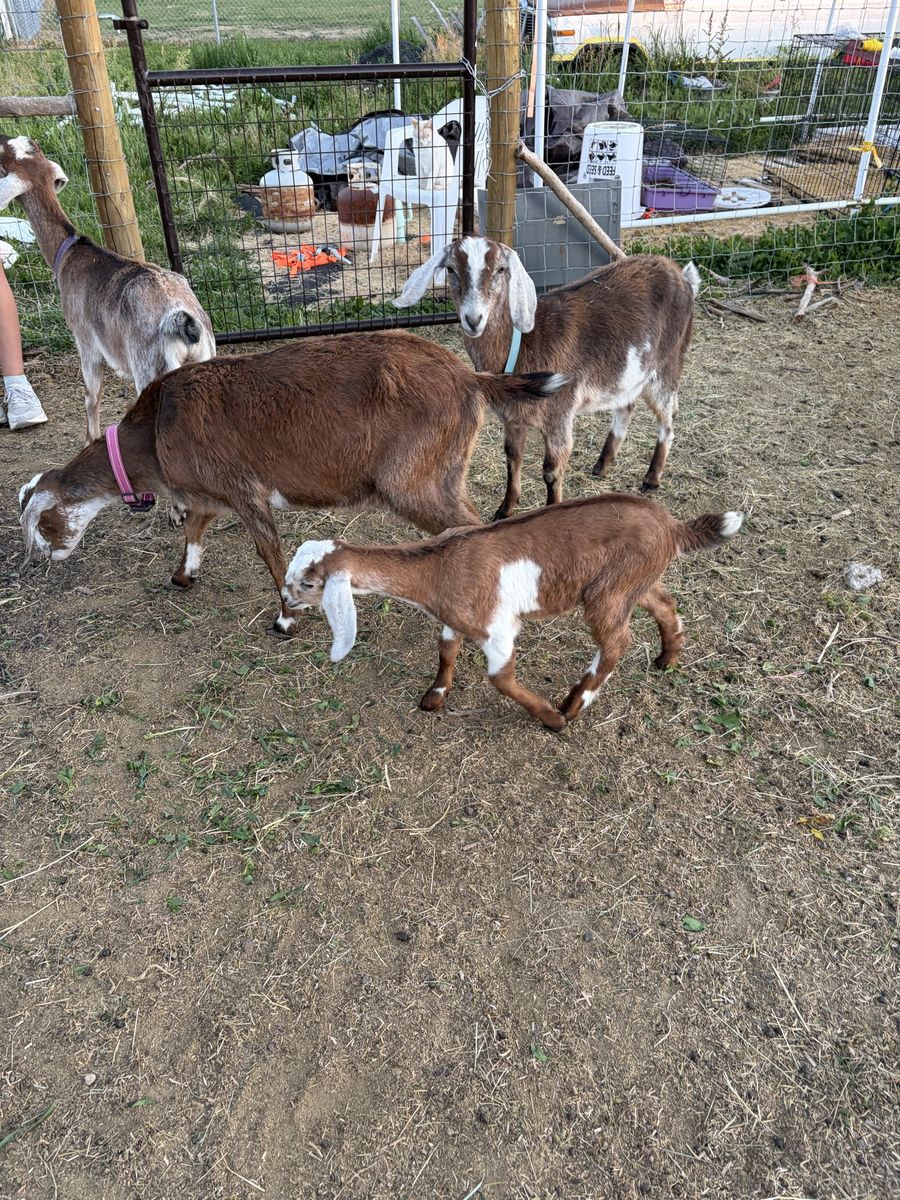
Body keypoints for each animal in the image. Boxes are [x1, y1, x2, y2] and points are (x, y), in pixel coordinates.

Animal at [0, 134, 215, 443]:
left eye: (5, 154)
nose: (3, 136)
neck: (69, 252)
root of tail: (184, 322)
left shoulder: (85, 339)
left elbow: (92, 395)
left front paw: (90, 439)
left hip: (150, 368)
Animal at [18, 332, 566, 634]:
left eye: (41, 525)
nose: (41, 561)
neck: (154, 430)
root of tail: (471, 378)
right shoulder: (211, 491)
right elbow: (194, 528)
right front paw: (183, 575)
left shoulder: (244, 490)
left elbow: (270, 553)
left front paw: (286, 619)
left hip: (415, 480)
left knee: (471, 527)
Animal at [282, 494, 743, 730]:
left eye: (306, 584)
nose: (282, 612)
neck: (437, 566)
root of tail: (672, 526)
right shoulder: (453, 617)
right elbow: (446, 651)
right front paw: (435, 696)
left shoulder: (498, 628)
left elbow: (500, 679)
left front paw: (549, 718)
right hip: (634, 580)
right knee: (664, 602)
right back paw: (668, 658)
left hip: (609, 592)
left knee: (616, 642)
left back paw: (574, 704)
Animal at [394, 236, 700, 519]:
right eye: (451, 269)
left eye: (501, 269)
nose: (473, 319)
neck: (523, 343)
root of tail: (682, 276)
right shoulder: (512, 417)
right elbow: (512, 459)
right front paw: (505, 509)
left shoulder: (559, 415)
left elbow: (551, 471)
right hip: (629, 372)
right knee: (626, 405)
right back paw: (602, 466)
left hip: (667, 366)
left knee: (667, 420)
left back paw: (651, 479)